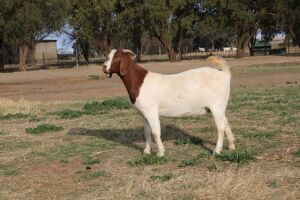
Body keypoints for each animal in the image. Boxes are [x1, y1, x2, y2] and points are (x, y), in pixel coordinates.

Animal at [102, 49, 234, 157]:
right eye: (108, 55)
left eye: (117, 57)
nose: (104, 67)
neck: (139, 82)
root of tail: (224, 74)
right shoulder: (144, 114)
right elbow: (147, 132)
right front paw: (146, 151)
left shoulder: (151, 111)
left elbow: (155, 132)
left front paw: (160, 153)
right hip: (220, 106)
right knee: (225, 123)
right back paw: (232, 146)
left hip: (216, 105)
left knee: (220, 127)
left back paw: (217, 150)